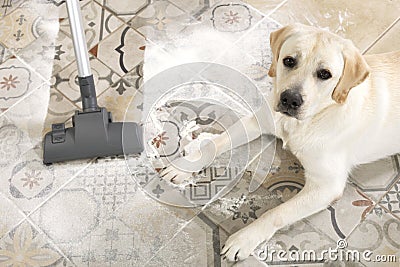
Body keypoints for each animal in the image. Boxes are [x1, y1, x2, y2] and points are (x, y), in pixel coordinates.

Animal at [159, 23, 400, 262]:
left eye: (325, 74)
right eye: (289, 61)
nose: (290, 99)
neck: (306, 121)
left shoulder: (326, 186)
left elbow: (277, 213)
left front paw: (245, 238)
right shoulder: (257, 121)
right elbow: (214, 143)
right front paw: (185, 166)